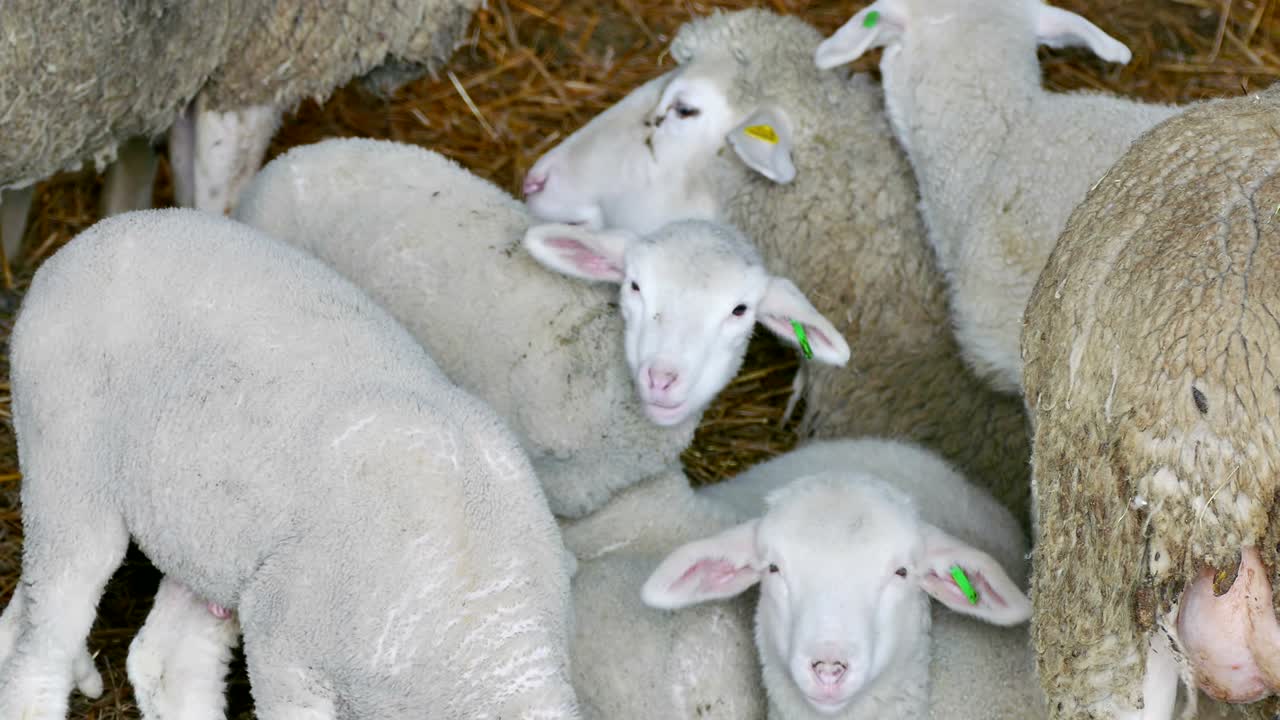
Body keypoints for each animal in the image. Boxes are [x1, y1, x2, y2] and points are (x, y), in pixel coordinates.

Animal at [0, 208, 581, 719]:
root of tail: (86, 240)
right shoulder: (285, 645)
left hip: (206, 537)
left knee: (157, 659)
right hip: (66, 461)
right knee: (46, 645)